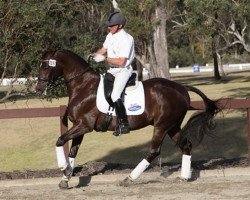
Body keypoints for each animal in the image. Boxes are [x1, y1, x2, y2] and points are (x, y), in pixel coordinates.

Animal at [35, 48, 221, 189]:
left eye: (46, 66)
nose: (38, 89)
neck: (83, 86)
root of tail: (181, 88)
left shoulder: (84, 126)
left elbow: (60, 140)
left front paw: (63, 167)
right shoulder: (79, 127)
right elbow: (73, 151)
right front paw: (66, 177)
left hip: (161, 125)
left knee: (154, 151)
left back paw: (129, 178)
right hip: (172, 125)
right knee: (186, 145)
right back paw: (184, 177)